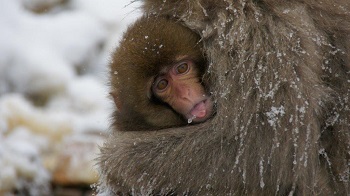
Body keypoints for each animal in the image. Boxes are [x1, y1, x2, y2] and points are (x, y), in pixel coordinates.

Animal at [98, 0, 350, 195]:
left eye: (182, 69)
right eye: (162, 85)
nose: (186, 94)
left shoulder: (252, 23)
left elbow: (261, 148)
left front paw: (114, 162)